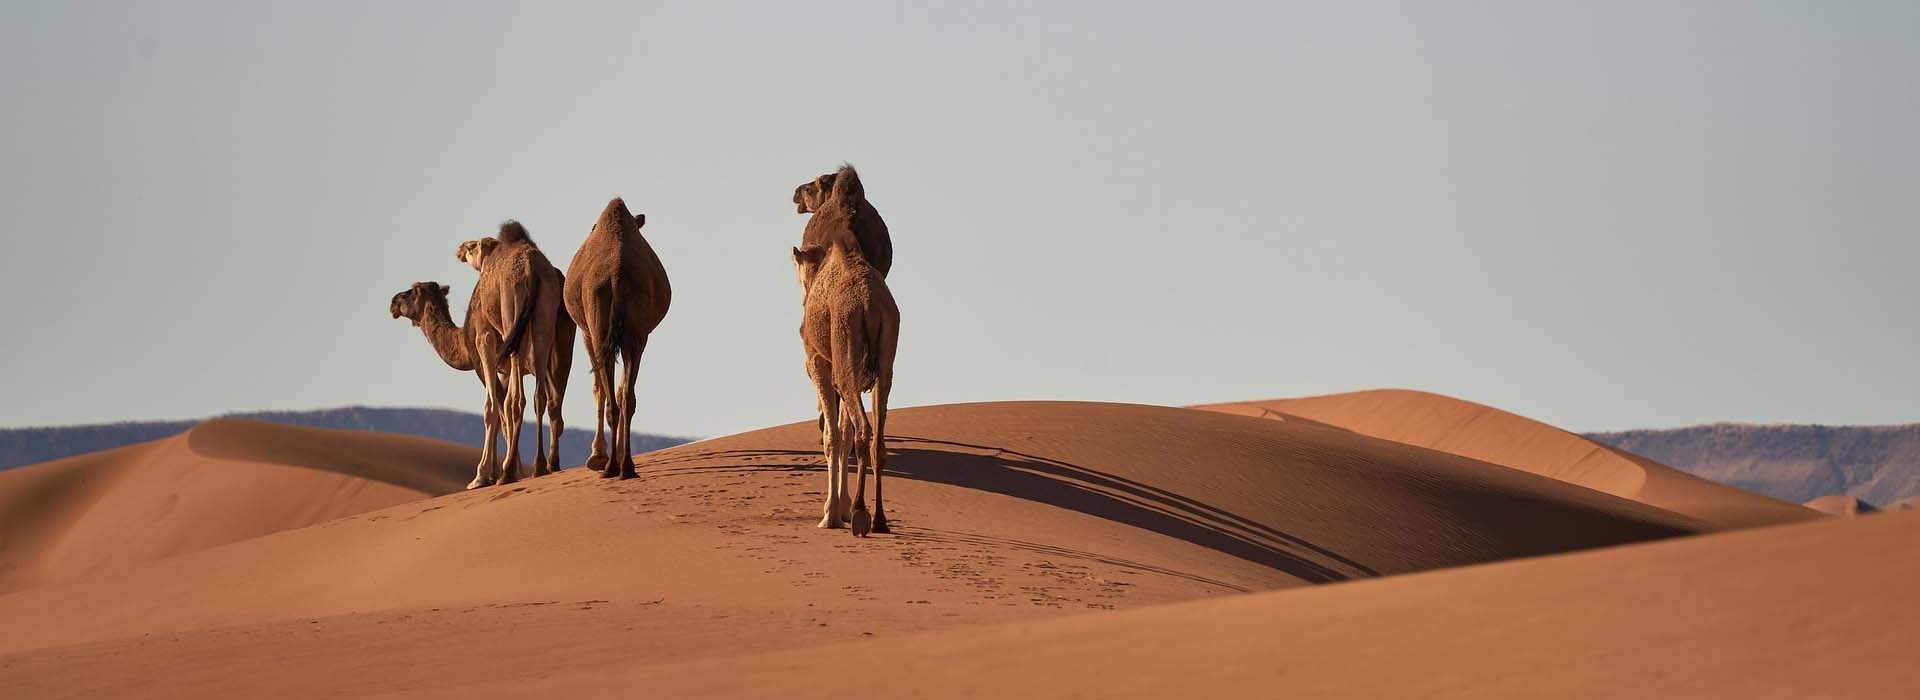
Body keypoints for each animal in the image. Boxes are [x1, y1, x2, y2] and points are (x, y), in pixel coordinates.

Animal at [458, 223, 576, 473]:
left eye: (473, 246)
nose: (460, 249)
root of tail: (532, 270)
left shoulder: (487, 335)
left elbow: (495, 404)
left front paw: (482, 474)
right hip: (544, 319)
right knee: (541, 395)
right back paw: (541, 465)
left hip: (512, 313)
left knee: (517, 397)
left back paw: (511, 469)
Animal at [560, 199, 668, 477]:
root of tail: (617, 274)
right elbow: (619, 390)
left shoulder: (586, 333)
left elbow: (598, 388)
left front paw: (596, 456)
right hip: (636, 333)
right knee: (626, 396)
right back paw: (626, 466)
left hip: (598, 322)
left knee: (609, 393)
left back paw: (609, 466)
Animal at [791, 171, 902, 536]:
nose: (796, 195)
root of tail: (868, 304)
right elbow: (843, 432)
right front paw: (836, 508)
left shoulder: (818, 361)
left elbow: (832, 436)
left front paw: (830, 514)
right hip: (885, 357)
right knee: (877, 437)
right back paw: (879, 519)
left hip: (845, 356)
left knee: (863, 431)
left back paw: (860, 514)